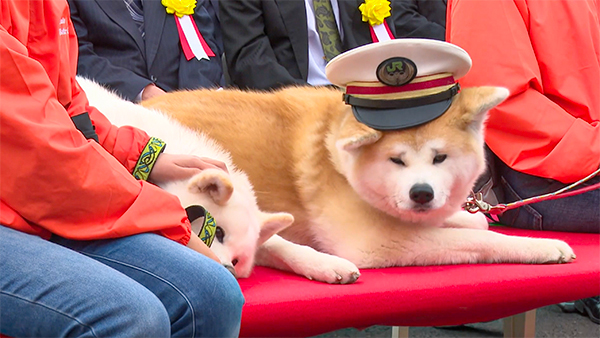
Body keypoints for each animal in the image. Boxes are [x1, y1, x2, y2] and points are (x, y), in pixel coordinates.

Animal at [142, 40, 576, 282]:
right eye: (396, 161)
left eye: (440, 157)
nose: (421, 194)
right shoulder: (374, 243)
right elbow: (481, 239)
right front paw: (541, 247)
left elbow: (475, 221)